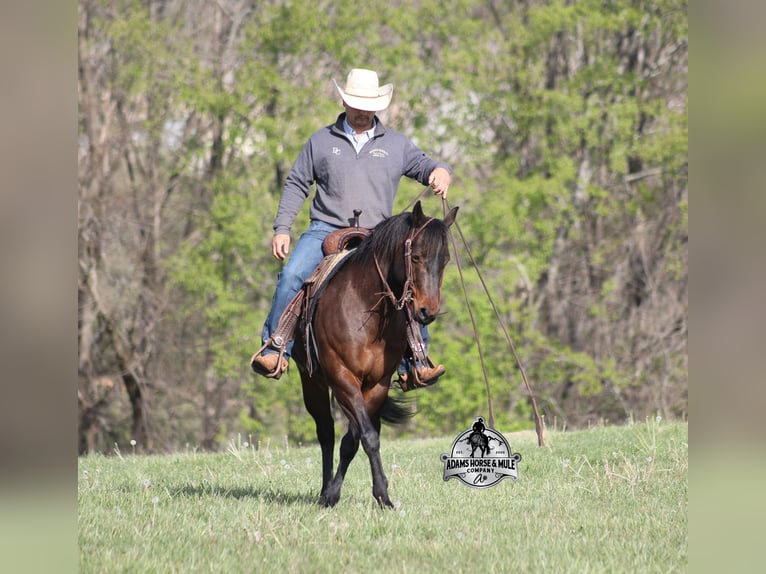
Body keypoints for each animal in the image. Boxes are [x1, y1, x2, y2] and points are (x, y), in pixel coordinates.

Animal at [291, 200, 458, 508]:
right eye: (416, 257)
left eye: (445, 259)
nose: (427, 312)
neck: (365, 309)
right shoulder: (342, 377)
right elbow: (364, 436)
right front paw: (339, 494)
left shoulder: (376, 384)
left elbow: (356, 438)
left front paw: (375, 494)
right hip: (312, 381)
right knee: (326, 432)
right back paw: (322, 490)